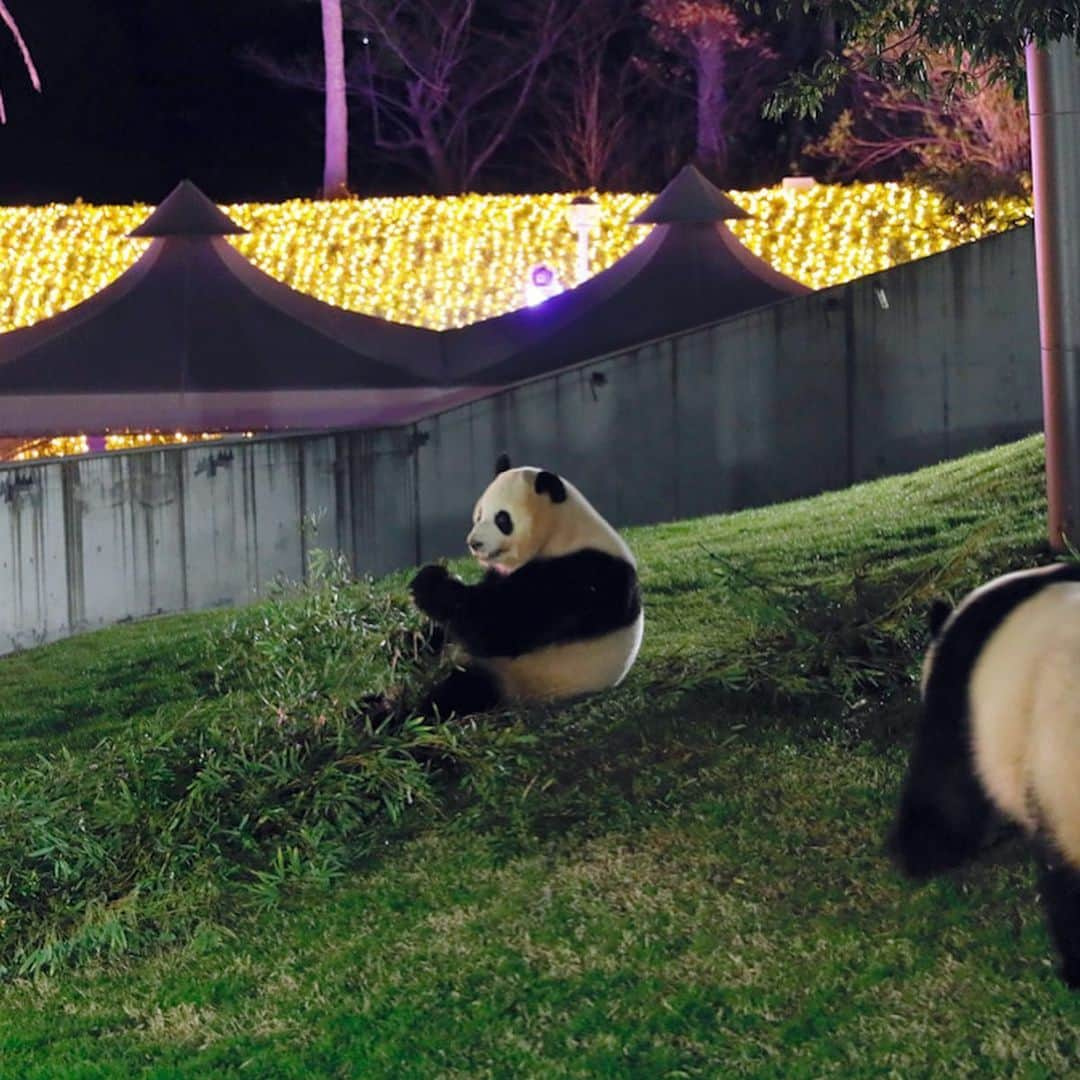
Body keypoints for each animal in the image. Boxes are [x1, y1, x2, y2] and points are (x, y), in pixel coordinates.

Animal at [406, 453, 639, 717]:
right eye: (479, 514)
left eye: (502, 519)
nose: (474, 543)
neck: (562, 532)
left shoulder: (582, 576)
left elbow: (502, 625)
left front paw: (429, 583)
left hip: (520, 676)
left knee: (461, 692)